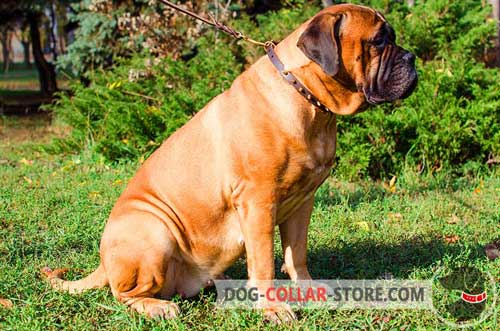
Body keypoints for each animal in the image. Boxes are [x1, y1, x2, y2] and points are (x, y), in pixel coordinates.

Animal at [43, 3, 418, 324]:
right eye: (379, 41)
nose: (412, 57)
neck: (306, 99)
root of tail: (103, 262)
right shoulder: (258, 202)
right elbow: (264, 262)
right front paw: (272, 309)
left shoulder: (303, 202)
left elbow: (296, 254)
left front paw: (308, 289)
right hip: (154, 231)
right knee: (122, 294)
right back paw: (157, 306)